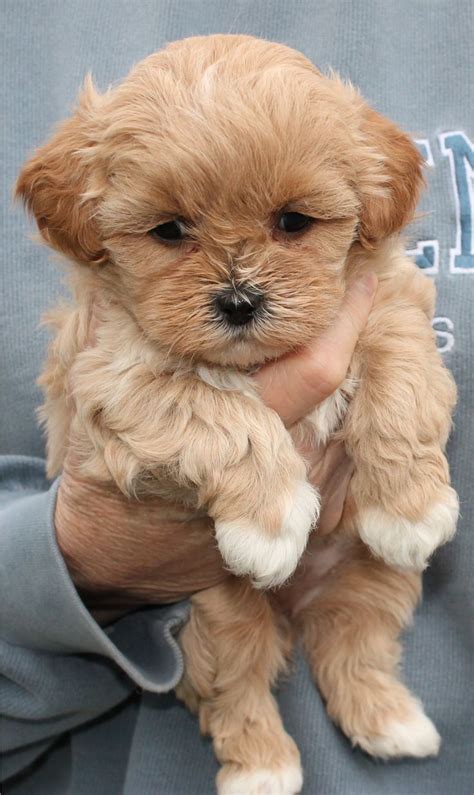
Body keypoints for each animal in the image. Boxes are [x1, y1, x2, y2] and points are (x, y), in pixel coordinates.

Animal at [17, 32, 460, 795]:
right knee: (238, 686)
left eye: (293, 221)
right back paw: (264, 767)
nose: (239, 300)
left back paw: (392, 721)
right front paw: (273, 518)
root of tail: (294, 606)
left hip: (373, 574)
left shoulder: (389, 299)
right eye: (169, 230)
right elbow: (219, 412)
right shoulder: (119, 378)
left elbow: (402, 375)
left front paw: (411, 506)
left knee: (356, 644)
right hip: (209, 616)